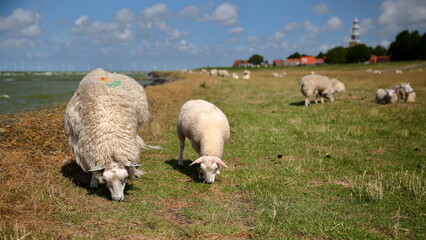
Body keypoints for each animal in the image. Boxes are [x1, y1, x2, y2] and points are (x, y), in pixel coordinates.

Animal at [64, 68, 151, 201]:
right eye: (106, 180)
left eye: (125, 178)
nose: (117, 199)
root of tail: (103, 71)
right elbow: (93, 169)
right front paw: (94, 182)